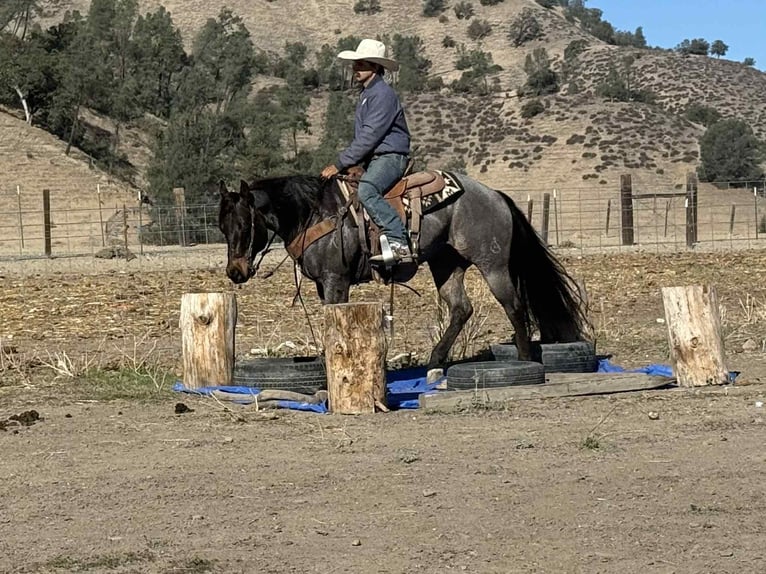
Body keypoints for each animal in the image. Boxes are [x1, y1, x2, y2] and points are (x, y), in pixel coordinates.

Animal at [218, 170, 589, 369]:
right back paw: (436, 360)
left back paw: (525, 359)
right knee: (461, 309)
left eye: (245, 225)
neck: (314, 212)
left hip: (492, 264)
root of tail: (495, 195)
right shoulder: (324, 284)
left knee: (513, 306)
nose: (235, 272)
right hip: (446, 264)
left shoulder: (336, 280)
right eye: (222, 227)